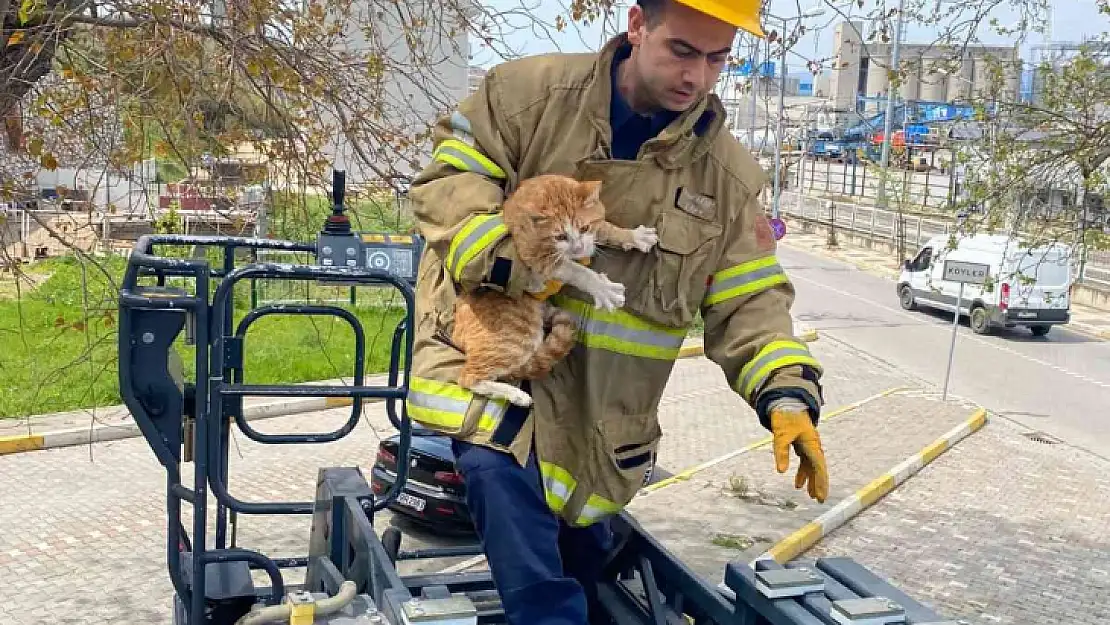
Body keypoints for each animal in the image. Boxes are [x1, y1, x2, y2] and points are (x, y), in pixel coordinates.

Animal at [452, 173, 657, 408]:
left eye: (584, 228)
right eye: (560, 237)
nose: (579, 249)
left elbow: (606, 227)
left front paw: (633, 236)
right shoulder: (540, 258)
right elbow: (577, 271)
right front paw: (602, 288)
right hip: (516, 338)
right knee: (468, 377)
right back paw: (515, 394)